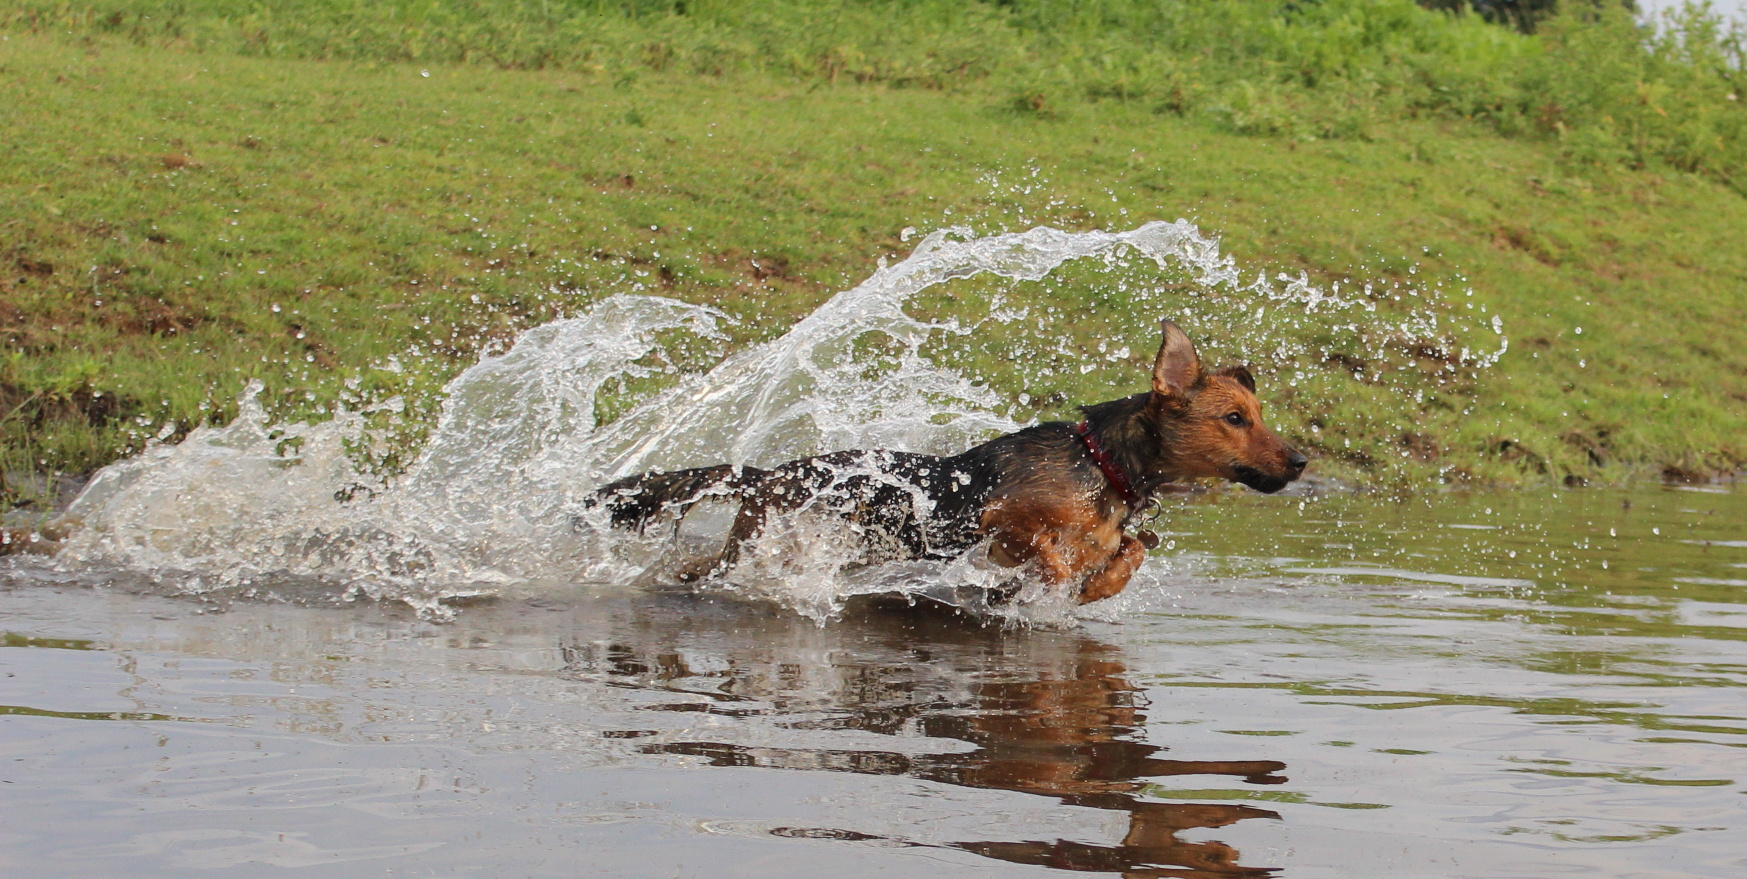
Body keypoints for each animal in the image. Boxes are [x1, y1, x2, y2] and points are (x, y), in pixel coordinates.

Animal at [593, 321, 1306, 604]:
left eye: (1259, 414)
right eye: (1235, 419)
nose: (1301, 461)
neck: (1102, 465)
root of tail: (769, 472)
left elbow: (1128, 550)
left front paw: (1096, 581)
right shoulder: (999, 519)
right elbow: (1048, 554)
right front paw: (1052, 582)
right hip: (767, 546)